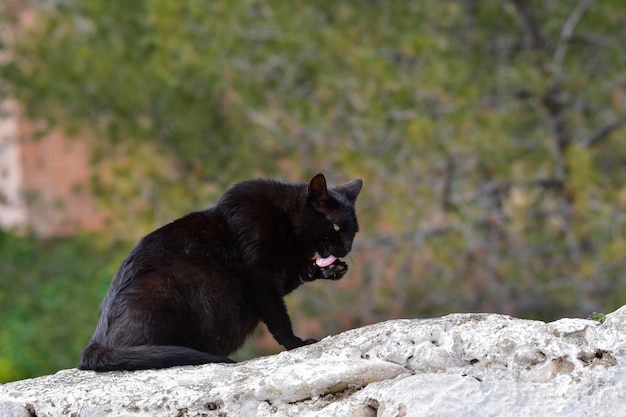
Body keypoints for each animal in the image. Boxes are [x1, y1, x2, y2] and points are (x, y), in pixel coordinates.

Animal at [78, 172, 360, 370]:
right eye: (336, 227)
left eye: (354, 231)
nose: (347, 248)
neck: (286, 224)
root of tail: (94, 344)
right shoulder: (260, 280)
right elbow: (278, 318)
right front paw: (295, 344)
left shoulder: (280, 277)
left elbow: (299, 273)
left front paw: (331, 269)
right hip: (162, 289)